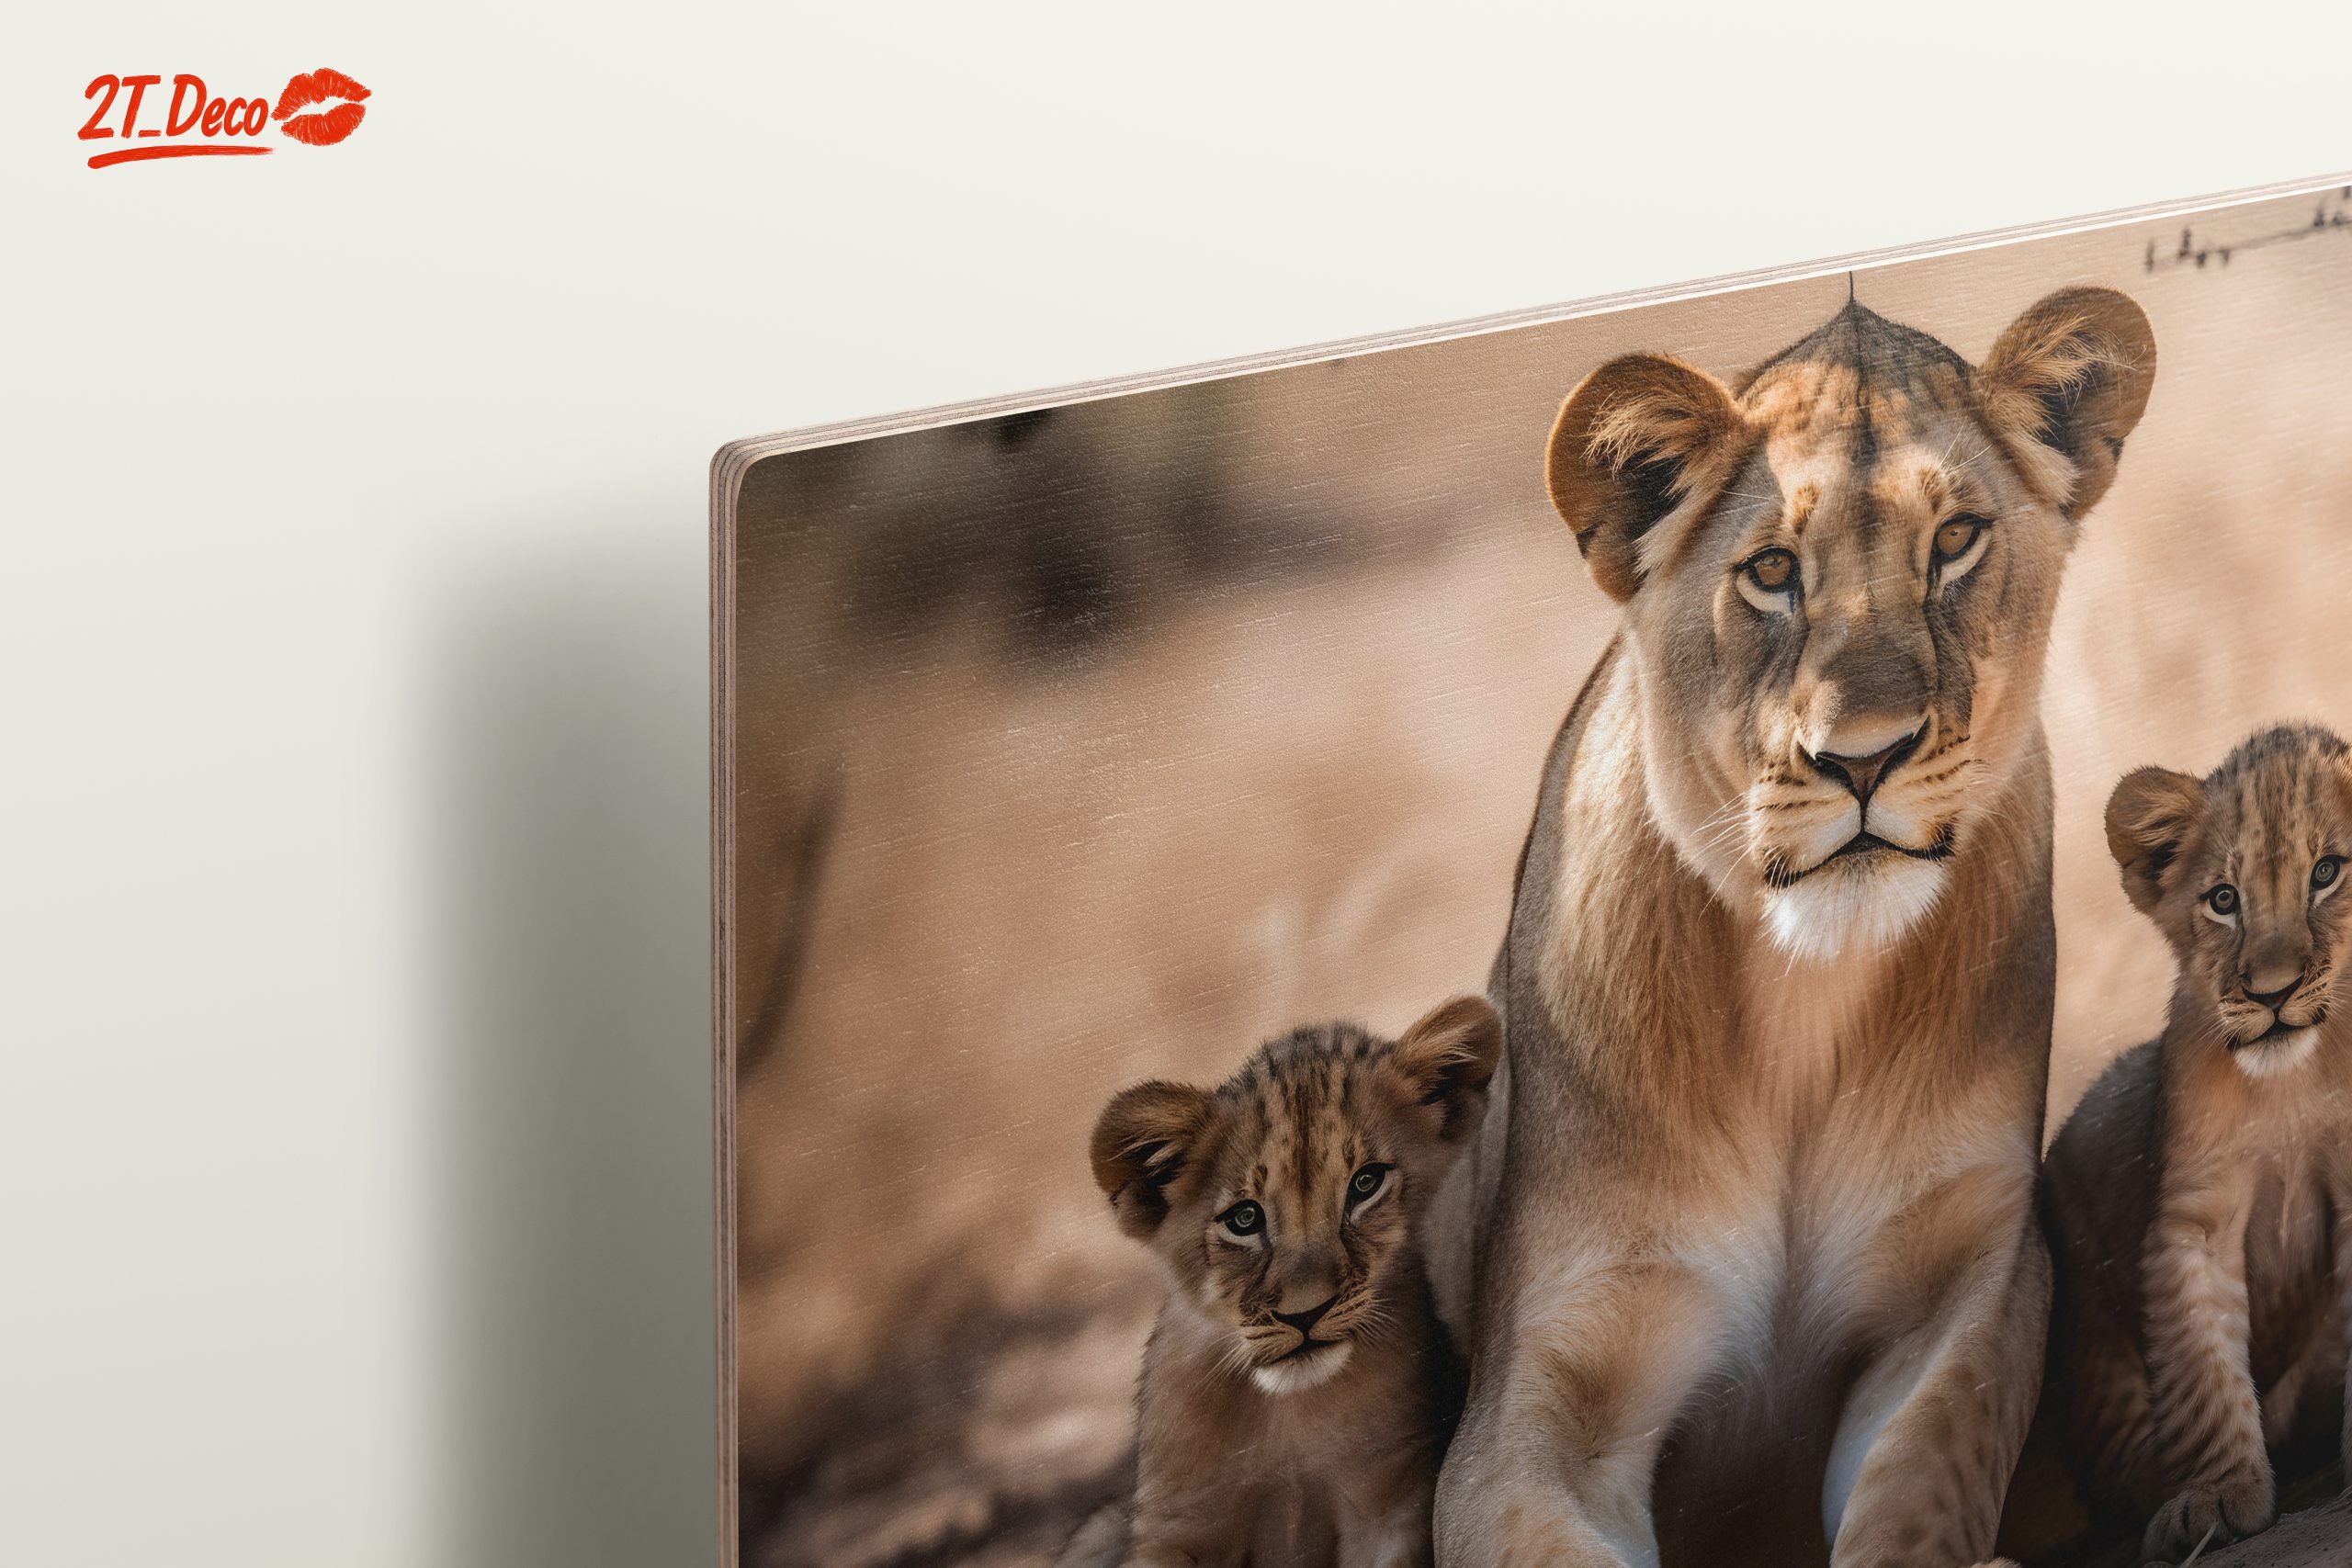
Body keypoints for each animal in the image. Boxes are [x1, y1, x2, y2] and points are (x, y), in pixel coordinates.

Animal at [1081, 998, 1502, 1567]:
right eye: (1243, 1219)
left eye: (1365, 1184)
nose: (1305, 1314)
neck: (1288, 1415)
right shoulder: (1178, 1520)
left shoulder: (1392, 1501)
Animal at [1427, 289, 2157, 1568]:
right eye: (1771, 571)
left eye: (1954, 539)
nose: (1862, 759)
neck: (1800, 1007)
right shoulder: (1524, 1418)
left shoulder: (1971, 1284)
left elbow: (1917, 1495)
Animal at [2039, 725, 2352, 1563]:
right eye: (2223, 900)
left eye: (2327, 873)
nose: (2273, 993)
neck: (2290, 1085)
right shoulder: (2193, 1217)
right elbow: (2203, 1366)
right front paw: (2216, 1494)